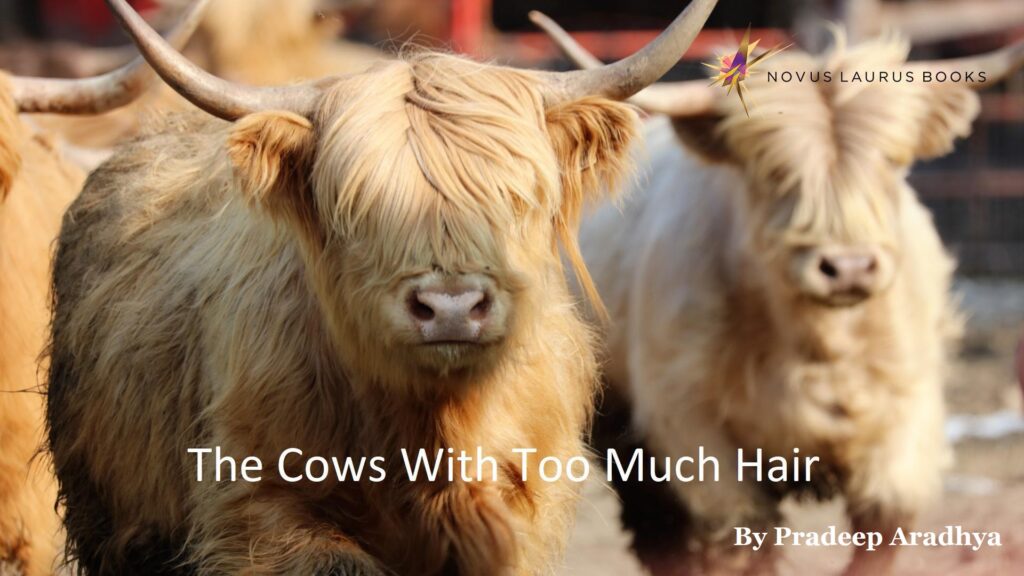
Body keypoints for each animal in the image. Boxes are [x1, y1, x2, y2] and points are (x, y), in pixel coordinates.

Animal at [533, 13, 1024, 576]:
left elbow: (882, 528)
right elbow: (744, 542)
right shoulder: (694, 431)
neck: (819, 346)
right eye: (775, 172)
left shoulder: (908, 414)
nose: (848, 268)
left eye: (889, 164)